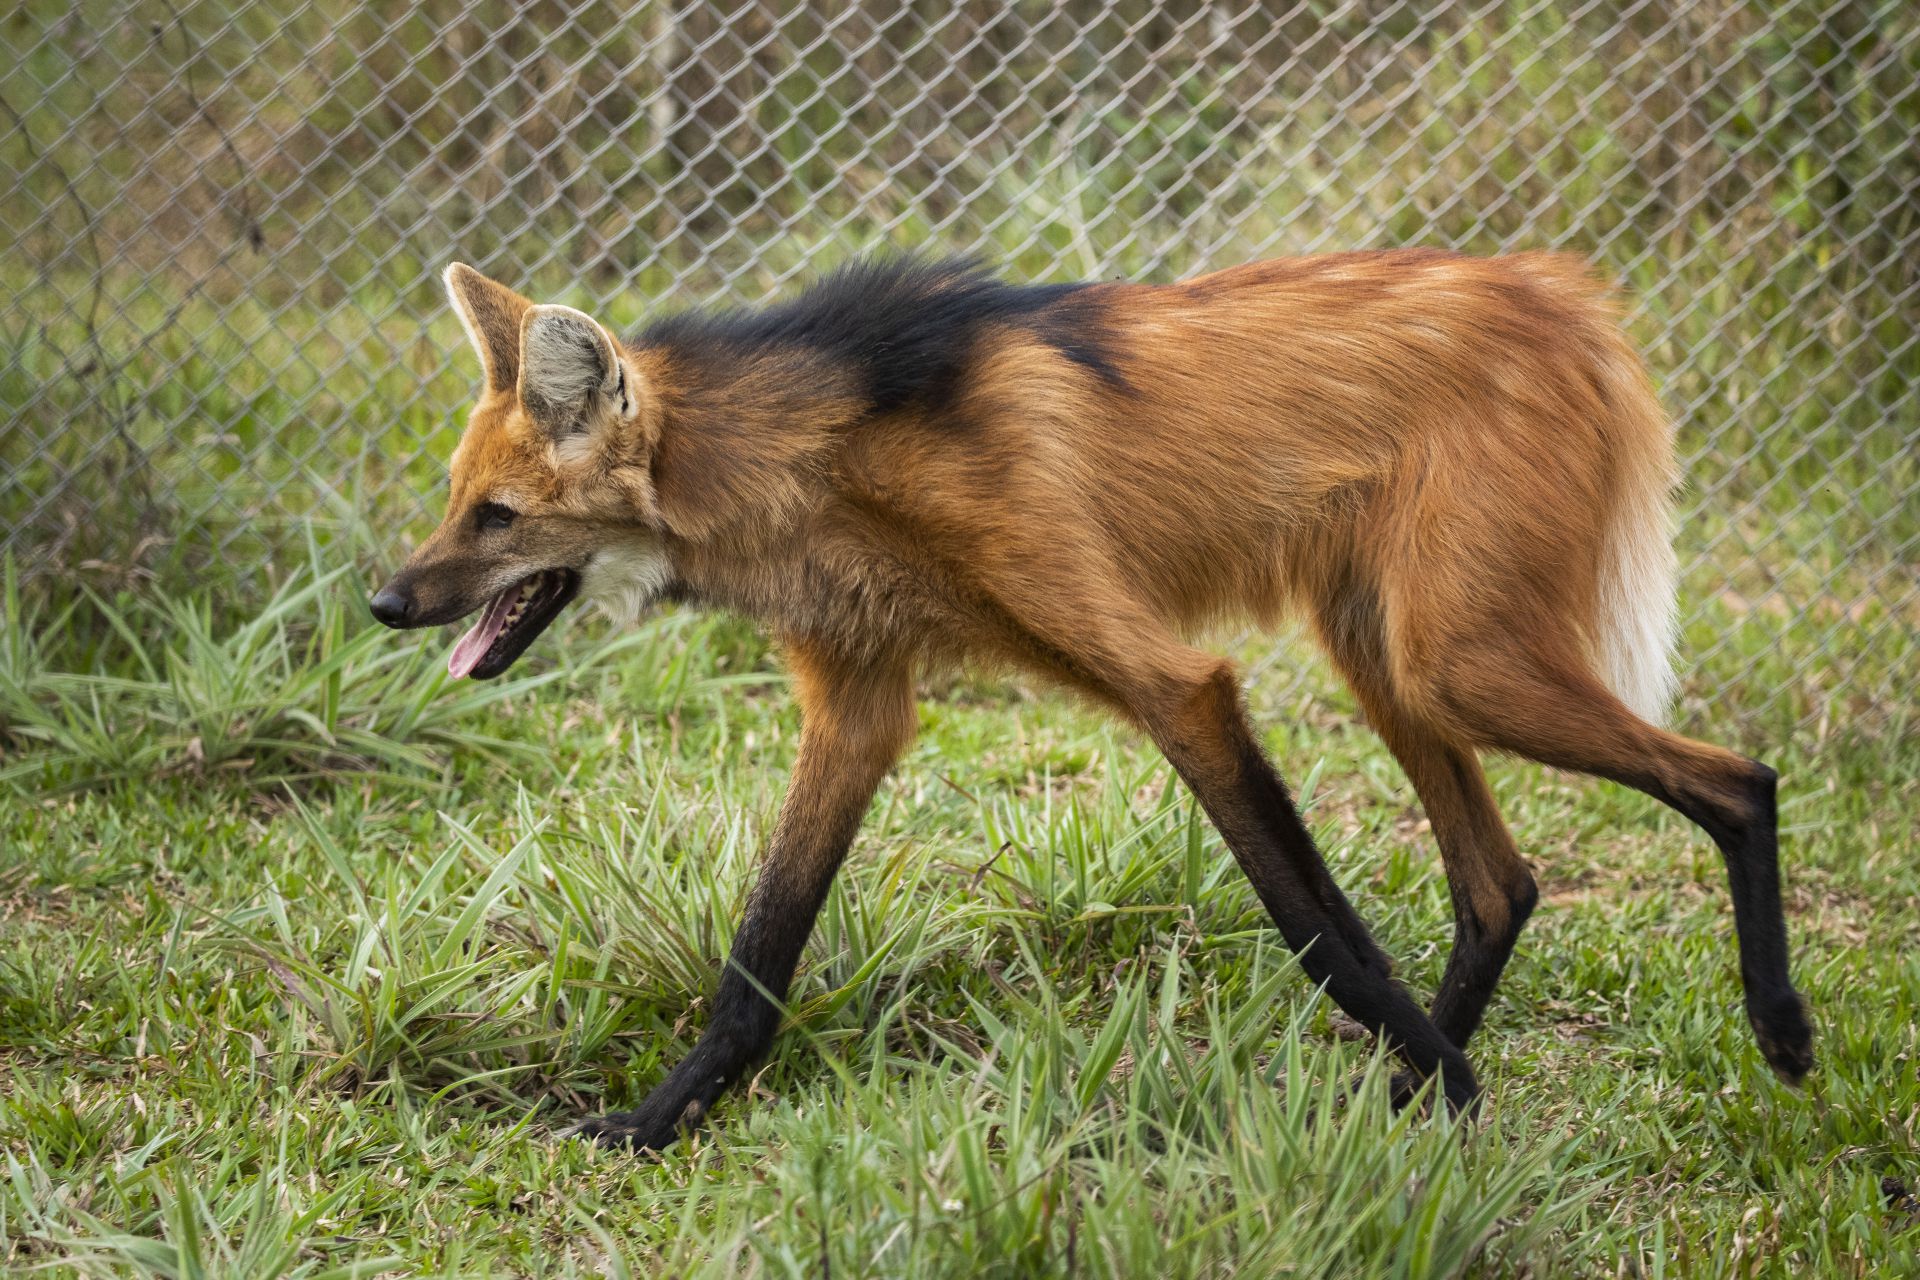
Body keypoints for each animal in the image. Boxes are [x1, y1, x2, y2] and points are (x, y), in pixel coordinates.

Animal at [370, 253, 1812, 1151]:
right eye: (454, 501)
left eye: (497, 518)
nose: (387, 601)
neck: (826, 454)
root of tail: (1559, 289)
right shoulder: (857, 710)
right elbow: (756, 959)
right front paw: (652, 1124)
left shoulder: (1176, 685)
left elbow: (1325, 936)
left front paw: (1468, 1107)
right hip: (1391, 657)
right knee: (1499, 882)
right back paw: (1394, 1107)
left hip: (1464, 663)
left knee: (1737, 779)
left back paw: (1776, 1032)